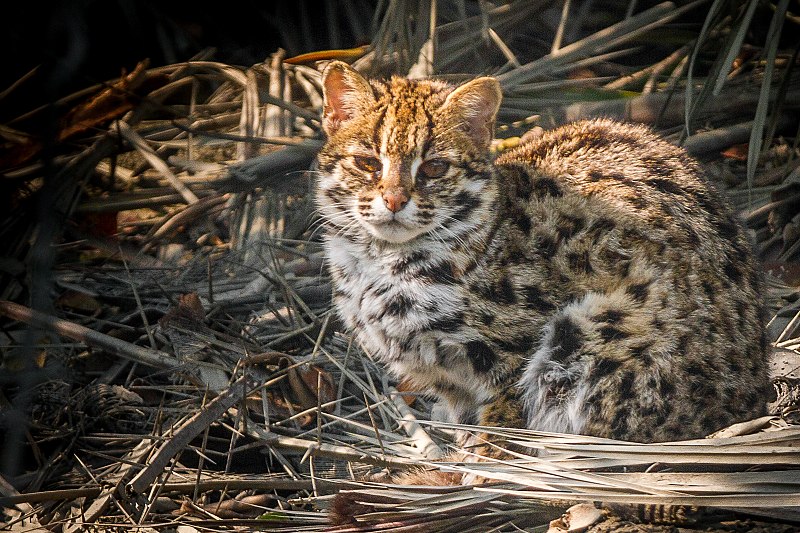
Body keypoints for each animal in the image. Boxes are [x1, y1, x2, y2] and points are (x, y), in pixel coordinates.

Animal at [312, 60, 768, 450]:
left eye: (434, 168)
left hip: (598, 333)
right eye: (367, 163)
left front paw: (481, 473)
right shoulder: (450, 383)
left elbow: (501, 428)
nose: (393, 200)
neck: (378, 262)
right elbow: (467, 423)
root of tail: (755, 391)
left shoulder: (512, 357)